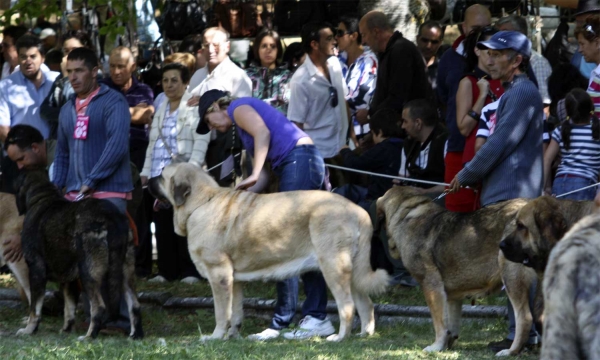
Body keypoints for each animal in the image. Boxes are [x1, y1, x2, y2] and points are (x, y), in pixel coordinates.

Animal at [14, 170, 142, 338]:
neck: (42, 198)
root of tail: (111, 216)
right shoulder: (69, 280)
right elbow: (69, 308)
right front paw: (66, 330)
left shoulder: (36, 270)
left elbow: (35, 308)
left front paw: (29, 330)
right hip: (124, 272)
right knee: (134, 304)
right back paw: (135, 335)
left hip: (88, 272)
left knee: (99, 307)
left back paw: (89, 336)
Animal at [148, 162, 392, 340]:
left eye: (162, 175)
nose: (147, 179)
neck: (201, 202)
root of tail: (359, 211)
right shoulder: (234, 279)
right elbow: (236, 311)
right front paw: (232, 336)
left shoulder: (219, 276)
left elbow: (221, 312)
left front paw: (215, 337)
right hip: (353, 272)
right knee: (366, 304)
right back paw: (364, 334)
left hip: (334, 266)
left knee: (347, 307)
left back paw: (339, 338)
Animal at [378, 187, 536, 356]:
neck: (407, 212)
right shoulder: (452, 295)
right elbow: (451, 323)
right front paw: (446, 345)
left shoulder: (431, 286)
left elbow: (439, 322)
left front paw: (436, 346)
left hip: (511, 276)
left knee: (525, 318)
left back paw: (510, 351)